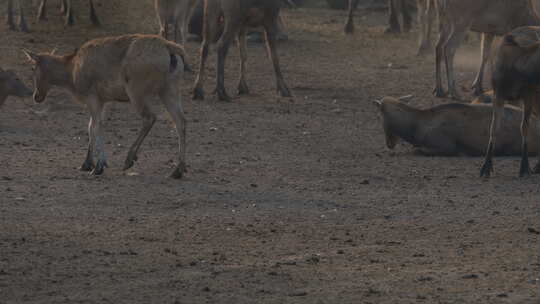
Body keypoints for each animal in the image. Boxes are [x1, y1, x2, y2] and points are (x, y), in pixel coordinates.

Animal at [22, 33, 188, 178]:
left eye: (33, 68)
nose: (36, 96)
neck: (71, 74)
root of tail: (171, 48)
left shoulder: (92, 96)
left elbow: (96, 125)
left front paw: (98, 166)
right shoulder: (104, 100)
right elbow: (92, 125)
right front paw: (87, 163)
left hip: (136, 90)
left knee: (150, 117)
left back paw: (129, 159)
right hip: (169, 88)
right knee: (180, 121)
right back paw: (178, 169)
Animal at [480, 26, 540, 178]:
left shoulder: (528, 95)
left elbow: (524, 128)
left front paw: (524, 167)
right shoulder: (498, 94)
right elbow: (493, 128)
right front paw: (486, 167)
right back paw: (538, 166)